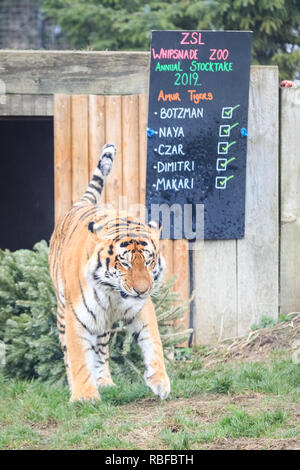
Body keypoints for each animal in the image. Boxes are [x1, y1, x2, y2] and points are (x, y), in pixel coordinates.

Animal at [50, 142, 170, 400]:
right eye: (124, 263)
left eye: (148, 261)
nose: (142, 290)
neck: (113, 293)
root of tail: (80, 204)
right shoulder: (76, 316)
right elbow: (77, 356)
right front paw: (84, 396)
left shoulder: (141, 308)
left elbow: (153, 341)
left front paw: (160, 382)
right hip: (63, 311)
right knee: (67, 352)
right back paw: (76, 387)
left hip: (102, 325)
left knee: (101, 351)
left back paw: (105, 382)